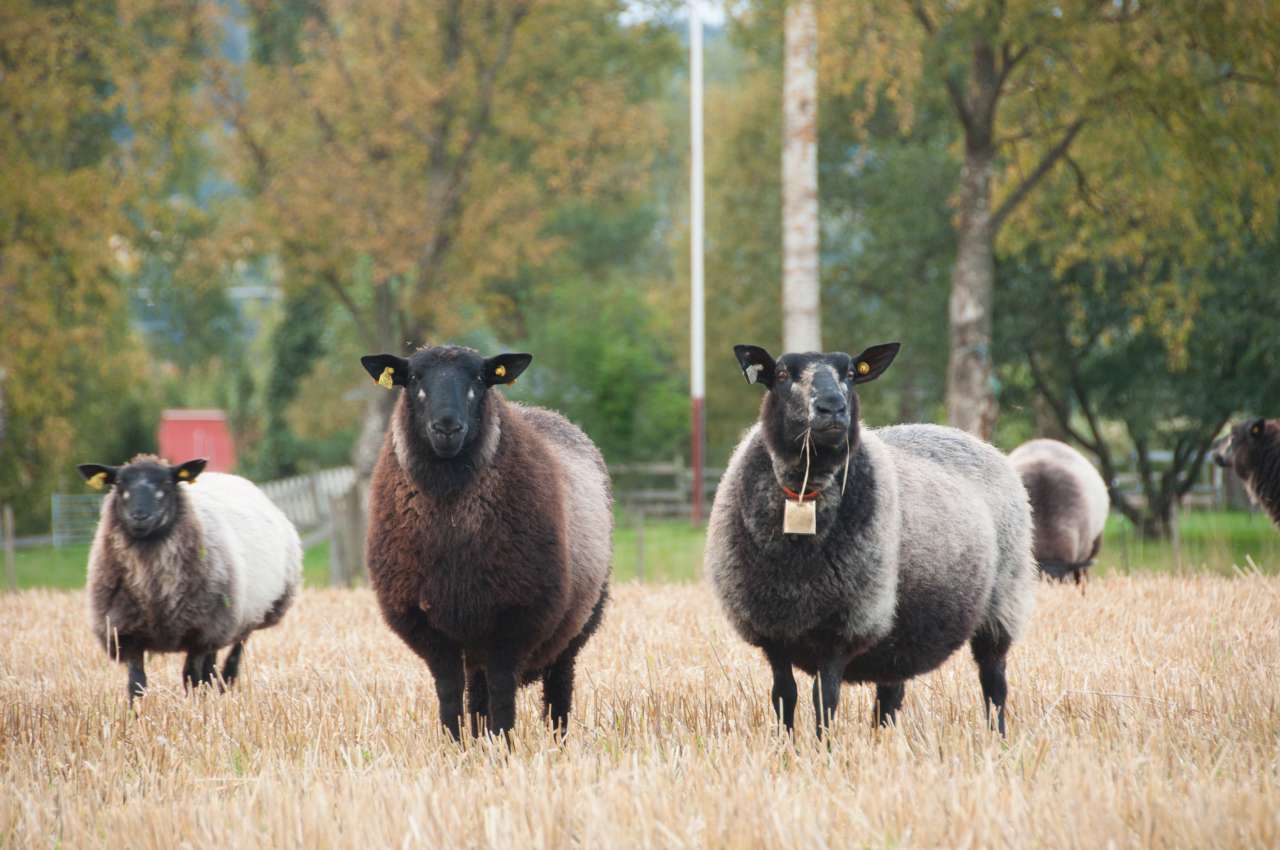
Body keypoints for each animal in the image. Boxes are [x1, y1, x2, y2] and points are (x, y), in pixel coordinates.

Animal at [76, 455, 302, 701]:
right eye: (118, 484)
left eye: (167, 483)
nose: (140, 516)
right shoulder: (127, 633)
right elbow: (136, 684)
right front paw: (135, 711)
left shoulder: (200, 632)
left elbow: (192, 678)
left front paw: (197, 706)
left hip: (244, 615)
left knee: (233, 655)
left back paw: (225, 685)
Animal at [358, 343, 611, 737]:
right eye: (413, 378)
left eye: (480, 378)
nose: (447, 427)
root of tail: (548, 413)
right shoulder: (427, 624)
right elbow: (450, 693)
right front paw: (455, 744)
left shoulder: (514, 617)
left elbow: (503, 694)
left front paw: (503, 745)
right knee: (477, 693)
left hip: (576, 625)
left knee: (557, 689)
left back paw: (556, 740)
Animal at [706, 345, 1034, 737]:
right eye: (782, 374)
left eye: (850, 373)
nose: (832, 407)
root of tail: (976, 440)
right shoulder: (771, 630)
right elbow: (783, 695)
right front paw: (785, 745)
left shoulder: (843, 624)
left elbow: (824, 699)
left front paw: (823, 747)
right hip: (903, 627)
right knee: (891, 693)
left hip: (1002, 603)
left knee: (994, 684)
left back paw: (998, 737)